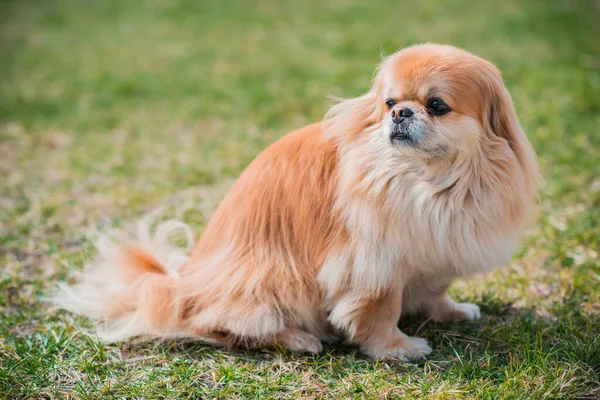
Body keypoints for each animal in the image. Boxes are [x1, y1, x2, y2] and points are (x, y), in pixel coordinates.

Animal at [58, 43, 540, 360]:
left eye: (437, 105)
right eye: (389, 102)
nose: (400, 113)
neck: (428, 182)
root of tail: (181, 286)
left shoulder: (438, 244)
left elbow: (437, 287)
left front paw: (451, 312)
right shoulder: (375, 261)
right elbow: (381, 311)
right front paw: (397, 348)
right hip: (273, 276)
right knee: (214, 324)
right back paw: (298, 339)